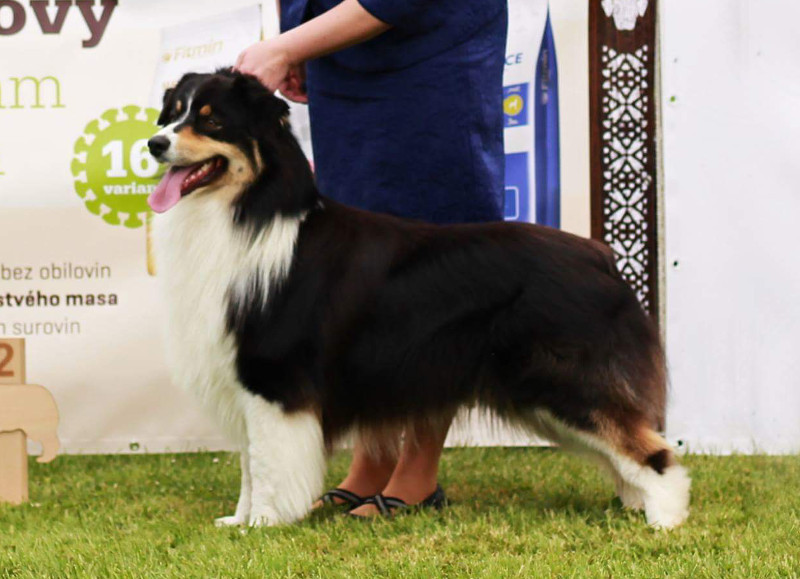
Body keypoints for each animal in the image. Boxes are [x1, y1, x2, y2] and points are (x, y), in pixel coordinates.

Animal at [147, 69, 692, 532]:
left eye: (211, 119)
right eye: (172, 113)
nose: (154, 143)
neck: (244, 211)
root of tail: (601, 256)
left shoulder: (273, 379)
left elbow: (265, 462)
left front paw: (264, 524)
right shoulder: (240, 379)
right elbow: (248, 462)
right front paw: (238, 521)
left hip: (568, 382)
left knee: (652, 451)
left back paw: (665, 520)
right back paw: (635, 506)